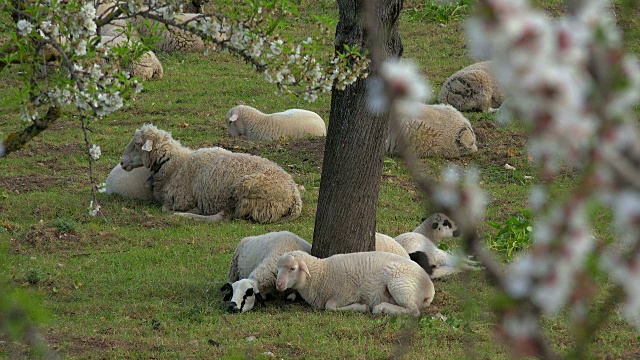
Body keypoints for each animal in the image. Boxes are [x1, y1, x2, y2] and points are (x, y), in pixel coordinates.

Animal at [119, 125, 304, 224]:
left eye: (137, 144)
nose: (121, 162)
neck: (174, 163)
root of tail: (295, 196)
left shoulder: (182, 198)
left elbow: (166, 208)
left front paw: (183, 211)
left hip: (245, 191)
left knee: (223, 216)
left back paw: (188, 215)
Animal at [276, 249, 436, 316]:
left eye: (292, 268)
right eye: (278, 268)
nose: (278, 285)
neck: (321, 273)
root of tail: (430, 290)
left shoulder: (346, 294)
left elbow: (330, 307)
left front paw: (361, 307)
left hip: (400, 284)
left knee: (413, 311)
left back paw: (380, 308)